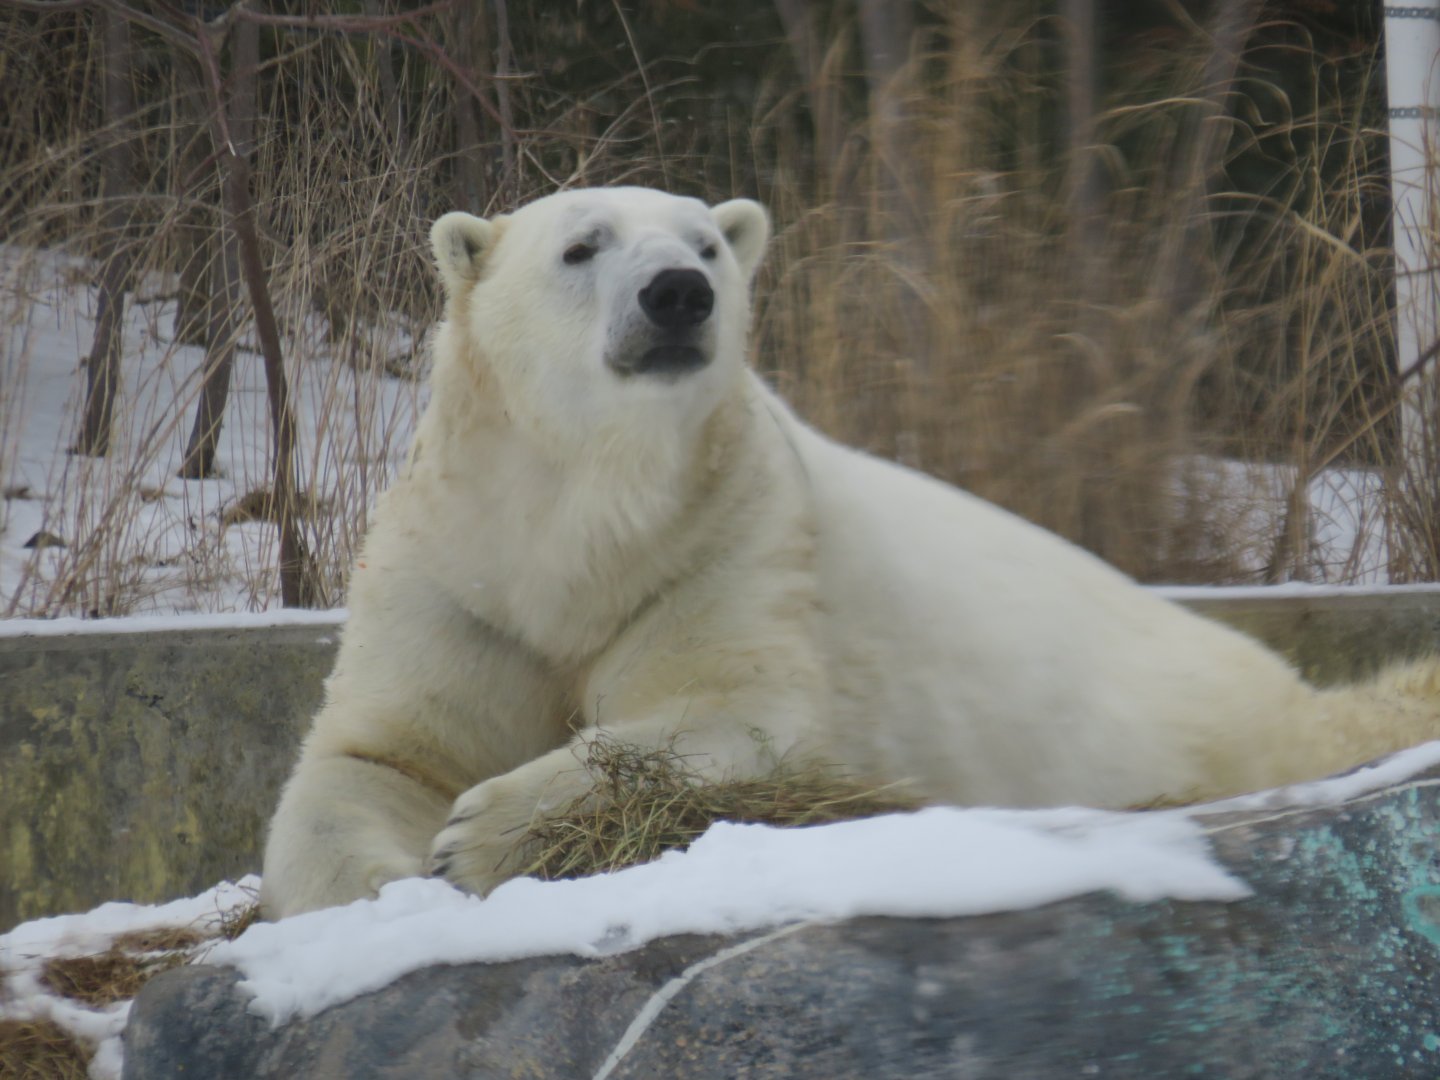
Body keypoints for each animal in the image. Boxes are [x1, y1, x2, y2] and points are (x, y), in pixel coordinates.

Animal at [260, 186, 1440, 918]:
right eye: (580, 245)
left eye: (706, 242)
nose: (678, 294)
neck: (581, 516)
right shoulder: (456, 573)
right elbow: (377, 756)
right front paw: (382, 891)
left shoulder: (730, 540)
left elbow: (737, 711)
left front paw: (477, 834)